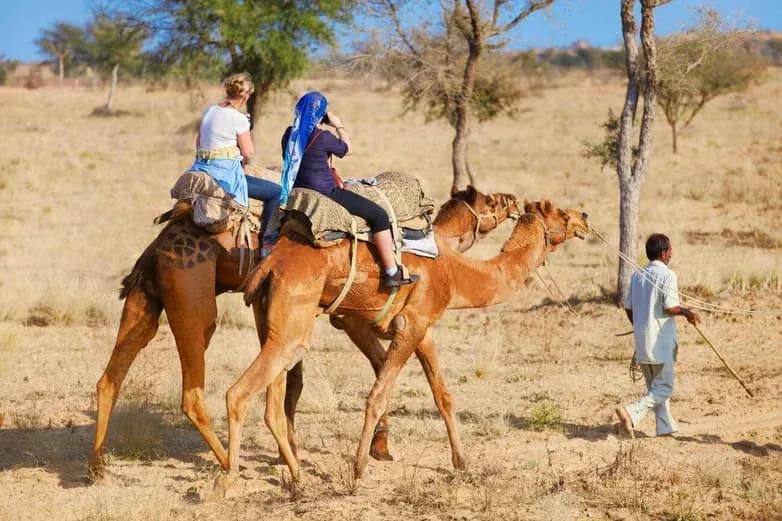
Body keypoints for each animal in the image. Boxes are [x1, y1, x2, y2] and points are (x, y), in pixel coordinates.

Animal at [88, 185, 518, 478]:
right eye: (492, 203)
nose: (515, 201)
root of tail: (160, 244)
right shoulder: (357, 320)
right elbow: (381, 372)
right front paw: (378, 450)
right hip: (196, 304)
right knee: (194, 390)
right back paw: (229, 464)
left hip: (145, 302)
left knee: (110, 378)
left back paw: (97, 466)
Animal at [223, 200, 589, 490]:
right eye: (559, 212)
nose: (584, 217)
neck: (455, 274)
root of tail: (271, 263)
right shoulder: (407, 326)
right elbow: (377, 395)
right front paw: (360, 468)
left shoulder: (423, 329)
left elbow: (443, 396)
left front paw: (461, 462)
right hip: (291, 327)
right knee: (239, 393)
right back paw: (229, 479)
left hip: (274, 323)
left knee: (273, 402)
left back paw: (297, 475)